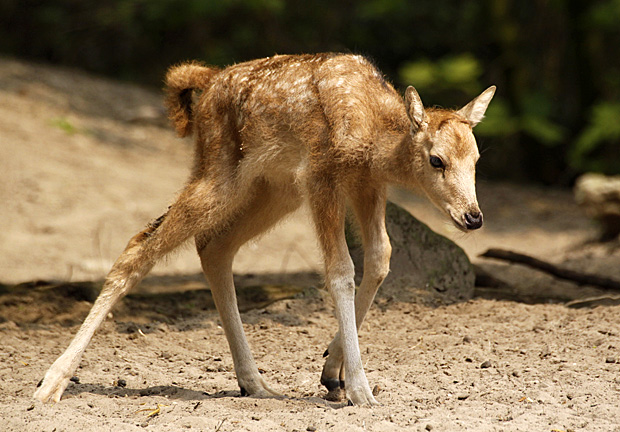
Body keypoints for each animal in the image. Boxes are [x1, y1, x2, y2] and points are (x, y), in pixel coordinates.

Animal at [35, 53, 498, 404]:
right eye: (436, 160)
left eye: (477, 159)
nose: (473, 216)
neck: (370, 141)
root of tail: (207, 82)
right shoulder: (320, 175)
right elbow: (340, 270)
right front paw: (360, 390)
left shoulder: (367, 186)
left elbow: (381, 259)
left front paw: (332, 372)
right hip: (221, 173)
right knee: (140, 246)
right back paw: (50, 384)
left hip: (272, 189)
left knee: (213, 247)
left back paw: (254, 382)